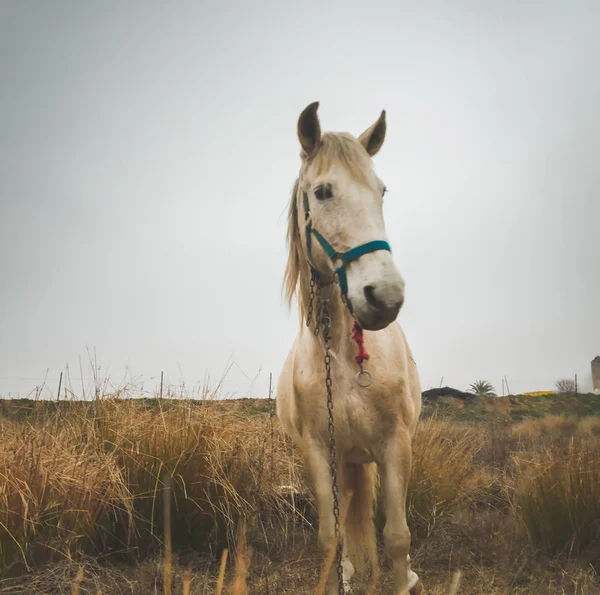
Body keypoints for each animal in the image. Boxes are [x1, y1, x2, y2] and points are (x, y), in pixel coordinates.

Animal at [276, 103, 422, 595]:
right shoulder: (321, 453)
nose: (385, 297)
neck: (341, 355)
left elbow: (396, 537)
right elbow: (329, 539)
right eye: (323, 192)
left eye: (382, 191)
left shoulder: (395, 446)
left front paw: (402, 578)